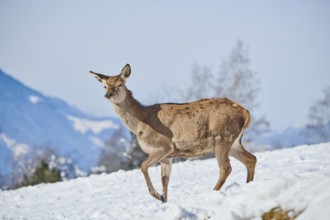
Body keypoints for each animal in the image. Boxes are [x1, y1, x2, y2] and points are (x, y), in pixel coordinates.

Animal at [90, 64, 258, 203]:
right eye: (104, 86)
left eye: (120, 84)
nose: (108, 94)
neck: (140, 123)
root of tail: (246, 113)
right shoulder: (168, 156)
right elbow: (165, 180)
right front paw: (164, 199)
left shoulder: (163, 146)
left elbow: (143, 166)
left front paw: (156, 195)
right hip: (234, 141)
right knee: (251, 159)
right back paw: (249, 185)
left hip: (222, 137)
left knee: (226, 168)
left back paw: (213, 192)